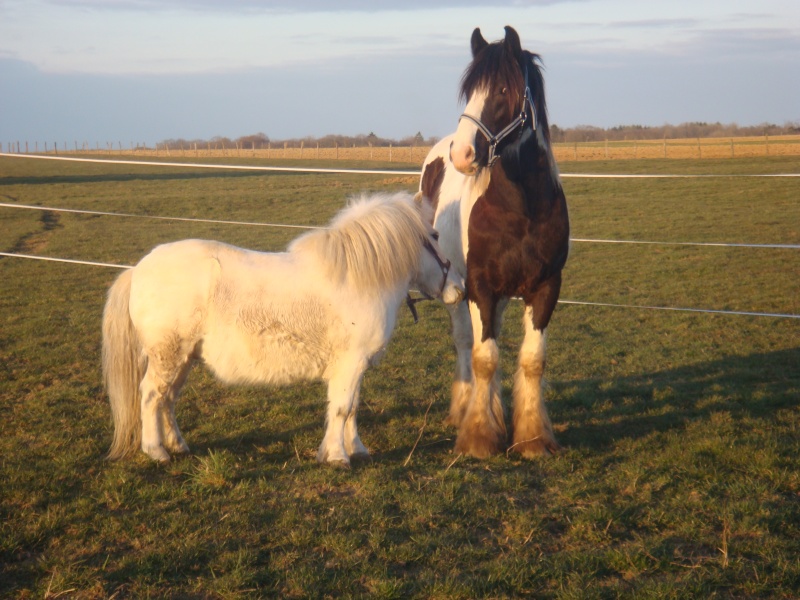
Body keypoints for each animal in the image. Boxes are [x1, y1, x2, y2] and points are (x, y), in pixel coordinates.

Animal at [101, 191, 462, 464]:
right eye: (434, 236)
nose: (458, 288)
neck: (357, 280)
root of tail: (138, 268)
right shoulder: (351, 362)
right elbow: (342, 408)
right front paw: (337, 456)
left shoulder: (355, 367)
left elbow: (352, 408)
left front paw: (356, 449)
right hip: (168, 354)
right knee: (151, 395)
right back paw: (157, 451)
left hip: (184, 358)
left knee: (168, 399)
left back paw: (177, 445)